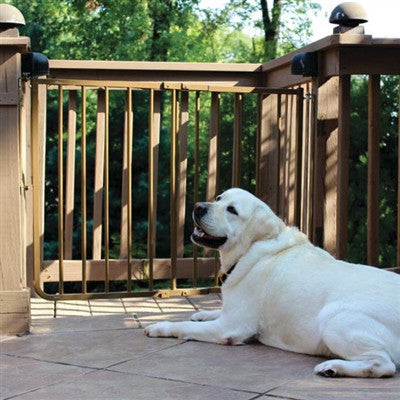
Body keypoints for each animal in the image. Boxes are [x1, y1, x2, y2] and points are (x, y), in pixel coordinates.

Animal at [145, 188, 400, 378]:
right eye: (218, 198)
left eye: (232, 210)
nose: (199, 207)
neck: (251, 249)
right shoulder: (231, 312)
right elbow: (210, 313)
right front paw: (201, 313)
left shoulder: (228, 327)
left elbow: (184, 327)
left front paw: (160, 327)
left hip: (334, 318)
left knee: (383, 364)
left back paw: (332, 367)